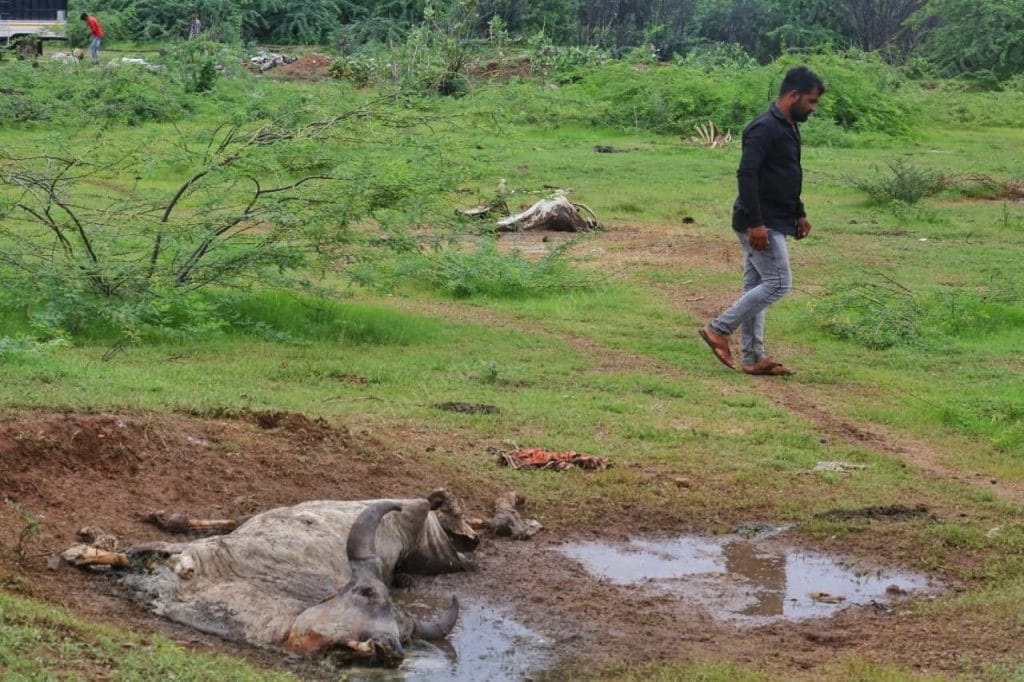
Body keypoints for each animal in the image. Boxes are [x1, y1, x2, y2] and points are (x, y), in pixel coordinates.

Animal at [63, 491, 478, 667]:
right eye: (365, 593)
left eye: (406, 637)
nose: (389, 649)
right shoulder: (193, 552)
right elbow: (131, 551)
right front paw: (80, 552)